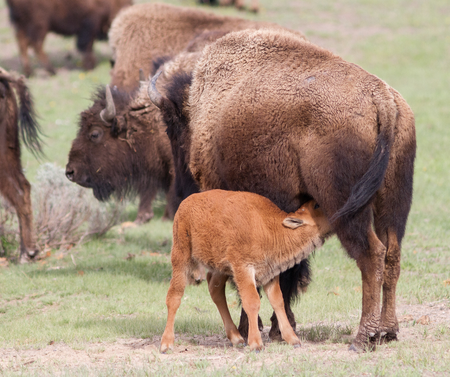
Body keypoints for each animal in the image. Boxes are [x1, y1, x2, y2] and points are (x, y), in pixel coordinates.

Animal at [162, 189, 330, 352]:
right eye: (316, 206)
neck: (271, 227)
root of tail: (186, 203)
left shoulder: (270, 273)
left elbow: (277, 301)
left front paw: (293, 340)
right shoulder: (243, 269)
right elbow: (252, 301)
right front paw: (256, 344)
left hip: (220, 268)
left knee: (215, 291)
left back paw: (237, 338)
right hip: (181, 255)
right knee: (174, 296)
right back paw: (166, 344)